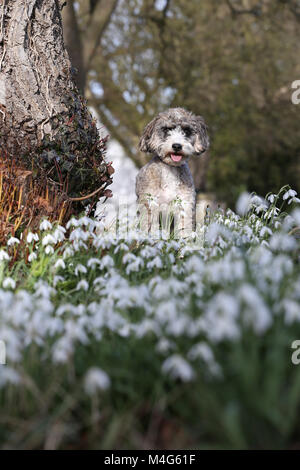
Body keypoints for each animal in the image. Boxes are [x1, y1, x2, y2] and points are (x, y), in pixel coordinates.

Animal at [136, 108, 209, 237]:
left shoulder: (185, 204)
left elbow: (184, 228)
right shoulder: (150, 204)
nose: (177, 146)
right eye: (167, 129)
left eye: (186, 131)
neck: (170, 169)